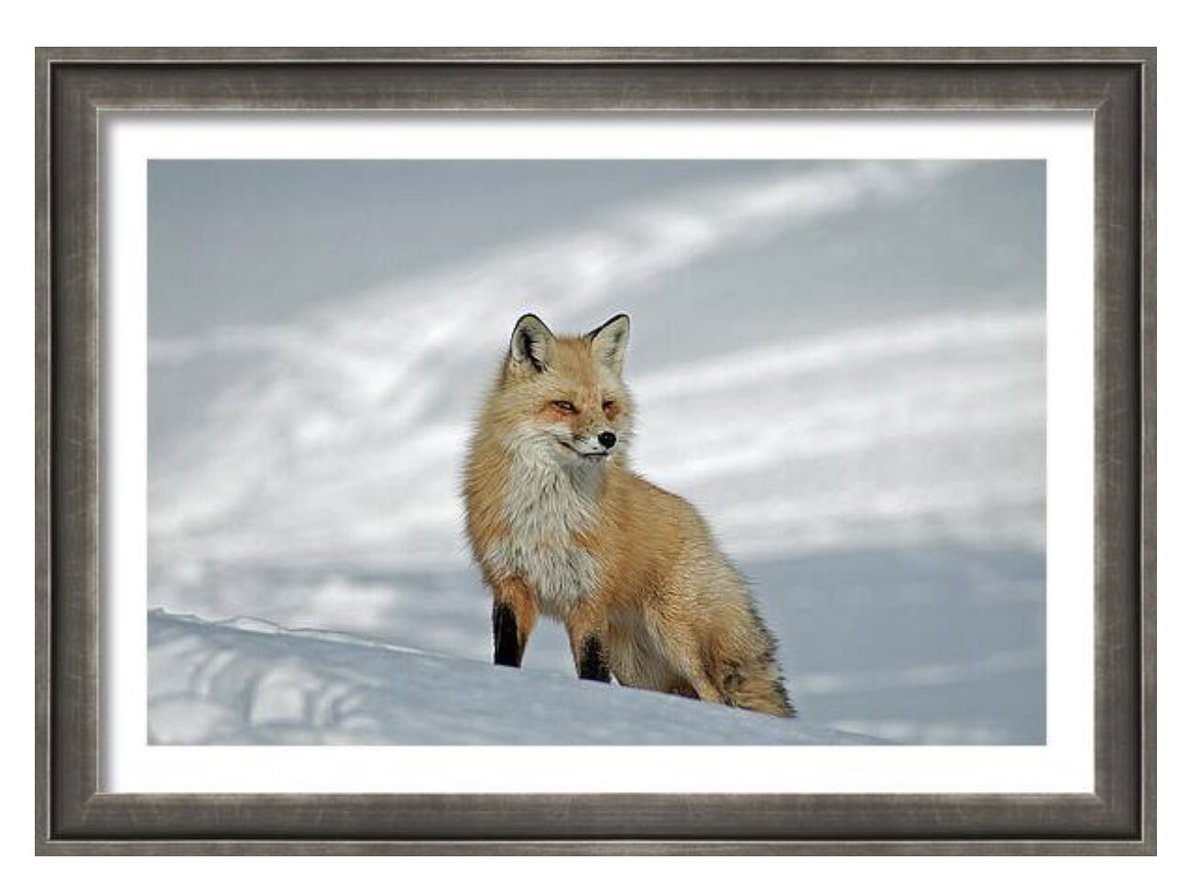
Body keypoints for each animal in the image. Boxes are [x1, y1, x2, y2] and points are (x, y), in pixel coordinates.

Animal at [462, 312, 795, 718]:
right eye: (565, 406)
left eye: (607, 405)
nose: (608, 438)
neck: (549, 516)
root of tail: (703, 526)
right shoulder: (510, 583)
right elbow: (506, 658)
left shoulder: (589, 596)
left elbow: (592, 671)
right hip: (635, 667)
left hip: (675, 636)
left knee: (715, 695)